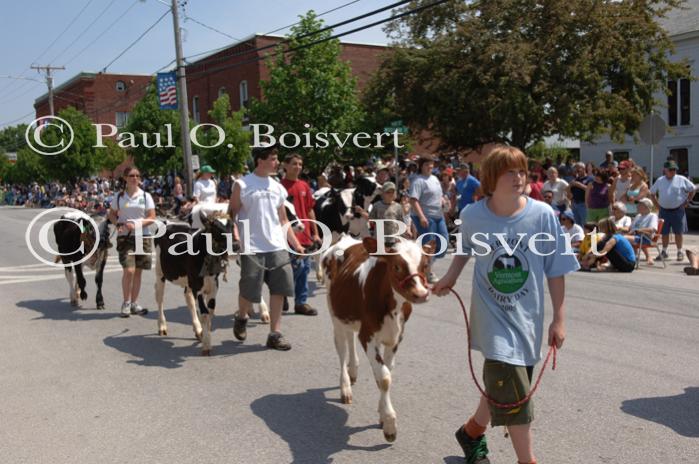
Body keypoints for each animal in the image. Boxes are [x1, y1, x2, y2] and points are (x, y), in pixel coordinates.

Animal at [324, 236, 434, 442]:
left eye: (425, 265)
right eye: (396, 266)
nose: (421, 294)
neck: (393, 307)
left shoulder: (396, 337)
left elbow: (386, 372)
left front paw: (382, 414)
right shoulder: (368, 335)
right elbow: (384, 378)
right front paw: (390, 424)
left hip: (350, 318)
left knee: (350, 339)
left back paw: (353, 371)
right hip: (335, 316)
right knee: (342, 350)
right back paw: (345, 388)